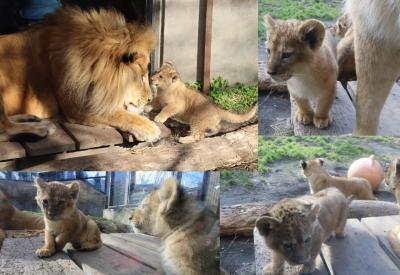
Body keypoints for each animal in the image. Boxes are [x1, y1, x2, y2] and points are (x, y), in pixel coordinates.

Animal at [0, 6, 161, 142]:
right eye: (141, 76)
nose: (149, 99)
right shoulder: (76, 106)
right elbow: (117, 114)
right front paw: (149, 127)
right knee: (5, 129)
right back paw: (41, 128)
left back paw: (28, 118)